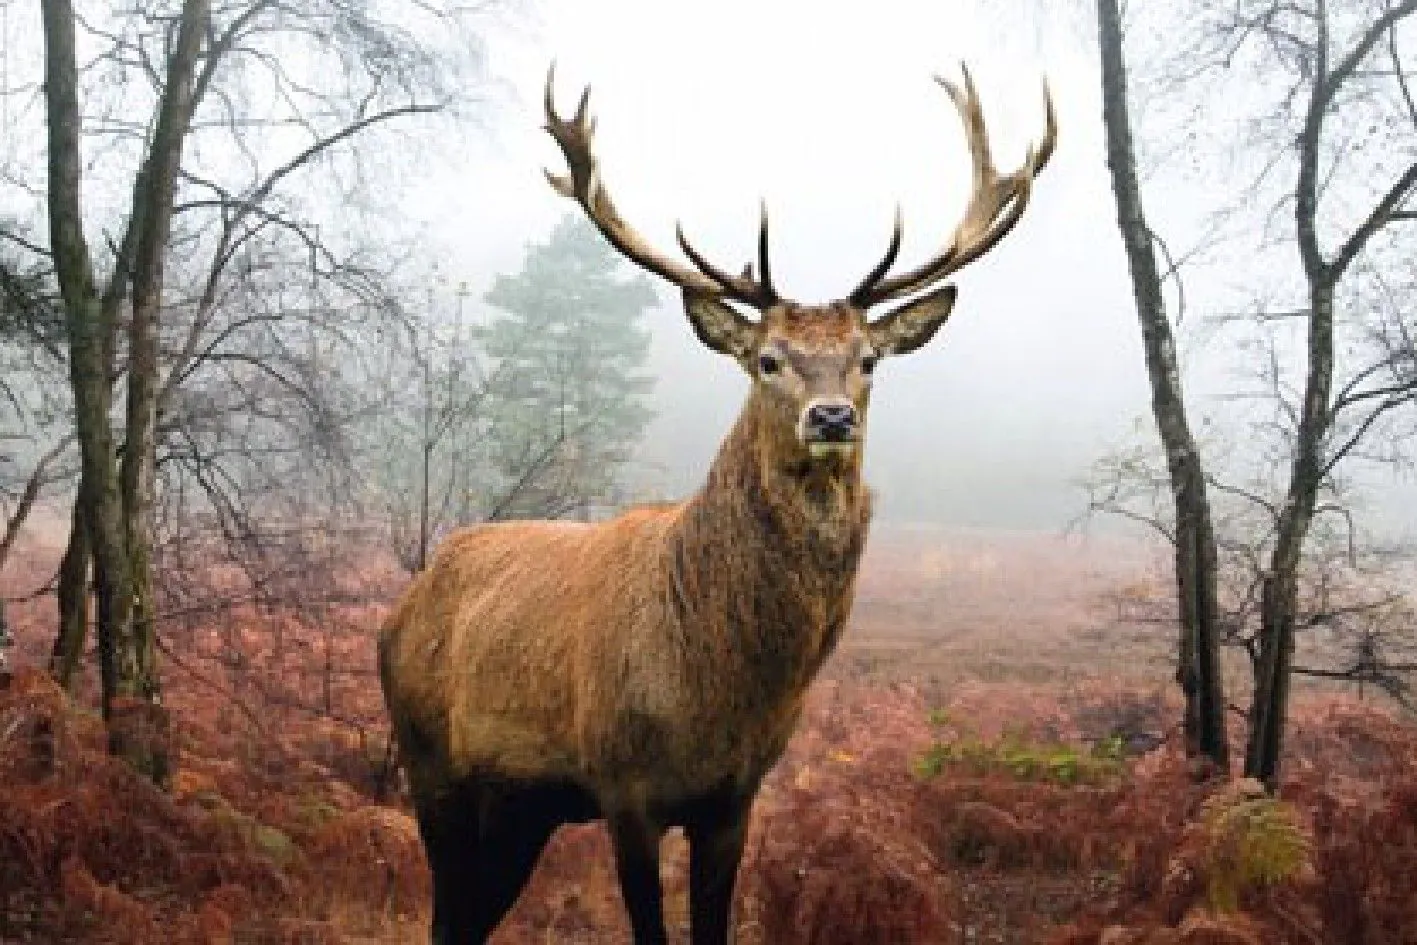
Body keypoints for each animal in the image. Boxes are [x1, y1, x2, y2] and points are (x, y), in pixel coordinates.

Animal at [378, 63, 1055, 945]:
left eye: (867, 358)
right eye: (767, 358)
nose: (829, 416)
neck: (716, 686)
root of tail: (402, 607)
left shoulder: (734, 797)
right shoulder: (623, 786)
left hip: (521, 805)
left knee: (467, 918)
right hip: (429, 764)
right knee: (444, 910)